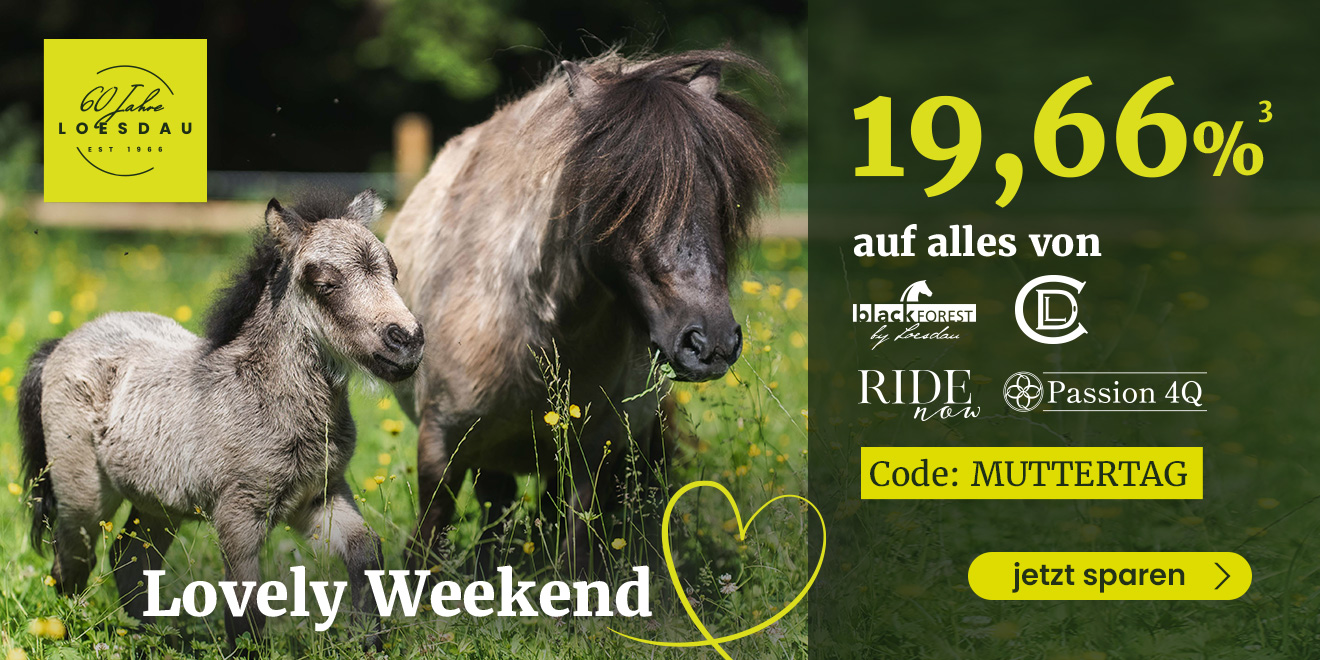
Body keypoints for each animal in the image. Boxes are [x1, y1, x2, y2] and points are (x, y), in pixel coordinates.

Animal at [18, 189, 424, 650]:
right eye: (325, 284)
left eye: (393, 273)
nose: (407, 341)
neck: (263, 397)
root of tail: (61, 343)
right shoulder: (239, 511)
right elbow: (247, 595)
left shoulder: (319, 493)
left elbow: (365, 550)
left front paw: (368, 640)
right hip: (83, 495)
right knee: (71, 558)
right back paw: (65, 630)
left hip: (158, 503)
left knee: (130, 556)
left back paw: (154, 635)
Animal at [386, 50, 778, 572]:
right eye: (622, 194)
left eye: (721, 200)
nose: (711, 342)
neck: (533, 334)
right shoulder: (440, 445)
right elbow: (424, 546)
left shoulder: (593, 453)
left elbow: (575, 553)